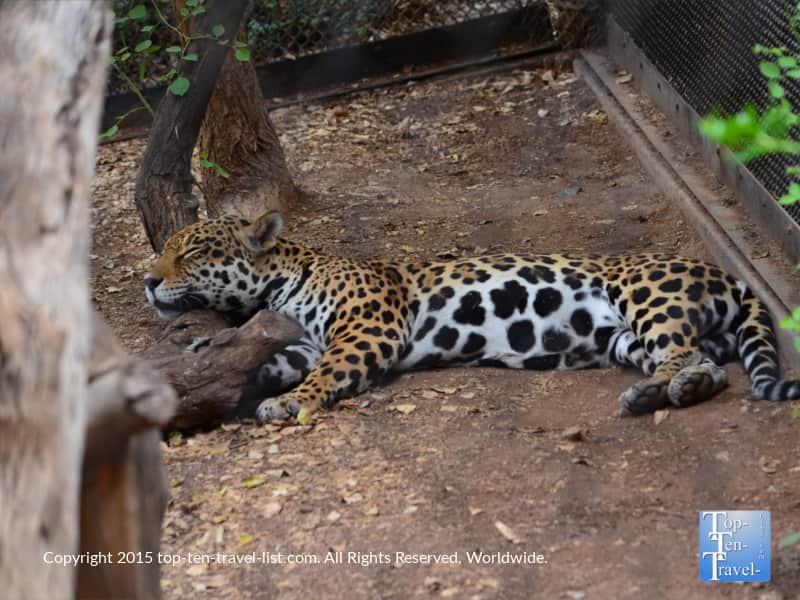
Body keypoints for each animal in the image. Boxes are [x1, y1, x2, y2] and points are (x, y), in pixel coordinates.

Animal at [144, 210, 800, 424]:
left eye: (193, 251)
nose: (149, 280)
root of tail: (731, 275)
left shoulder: (366, 328)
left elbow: (326, 373)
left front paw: (287, 403)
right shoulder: (308, 340)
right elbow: (281, 359)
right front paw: (234, 379)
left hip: (646, 295)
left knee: (690, 357)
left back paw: (662, 393)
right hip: (622, 339)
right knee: (699, 359)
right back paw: (656, 392)